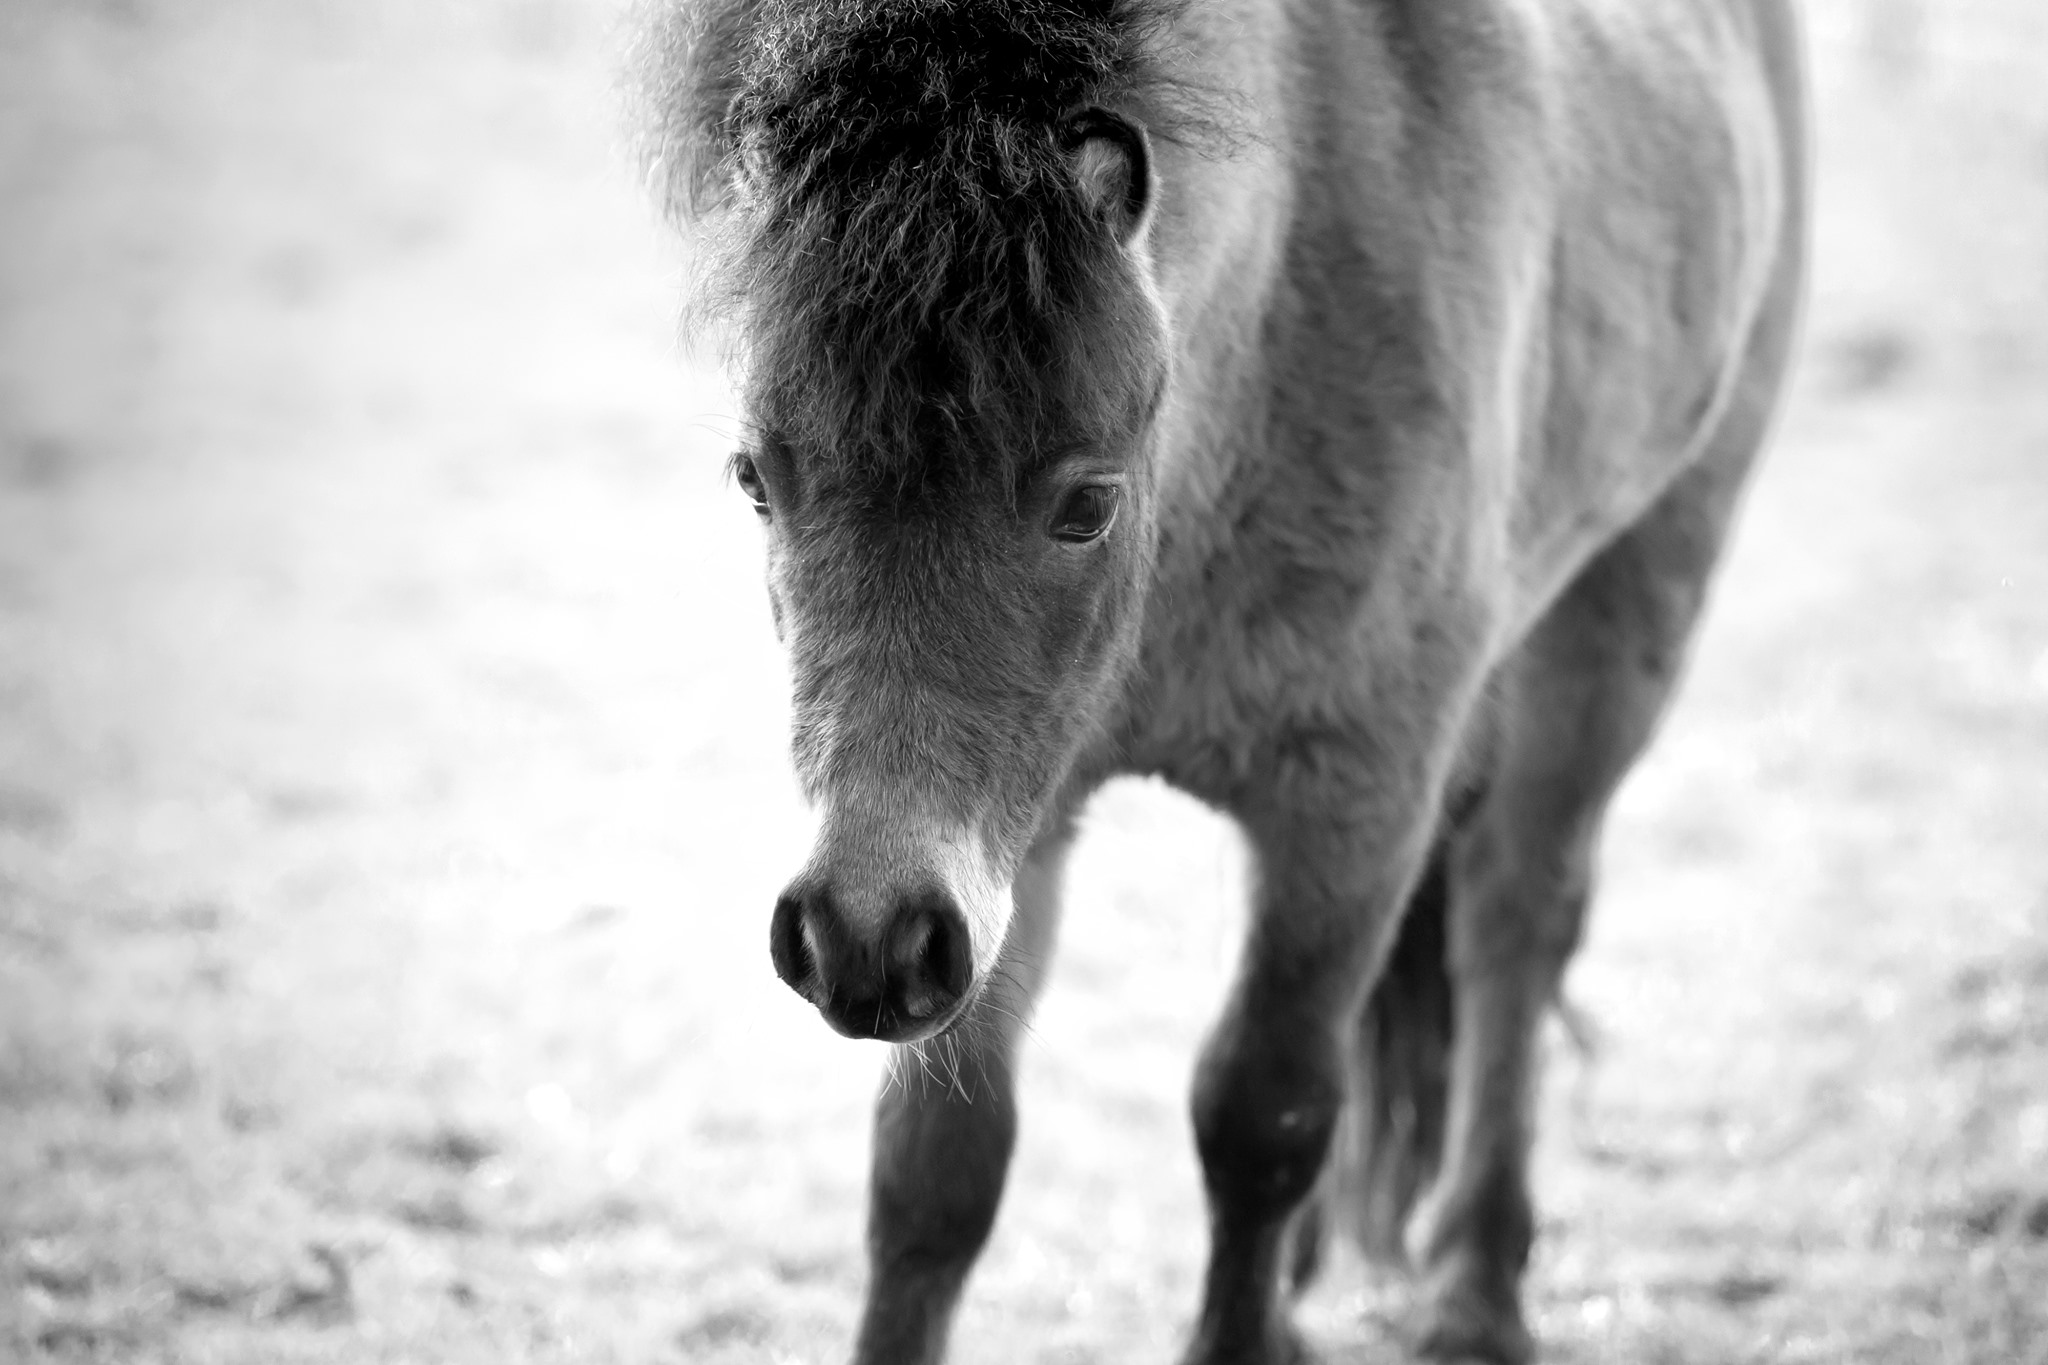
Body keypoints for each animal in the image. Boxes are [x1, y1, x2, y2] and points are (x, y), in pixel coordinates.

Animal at [635, 1, 1807, 1360]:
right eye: (753, 479)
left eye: (1087, 503)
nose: (857, 936)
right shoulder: (1009, 838)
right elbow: (935, 1170)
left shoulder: (1354, 809)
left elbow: (1262, 1117)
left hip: (1626, 603)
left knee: (1512, 924)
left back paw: (1472, 1294)